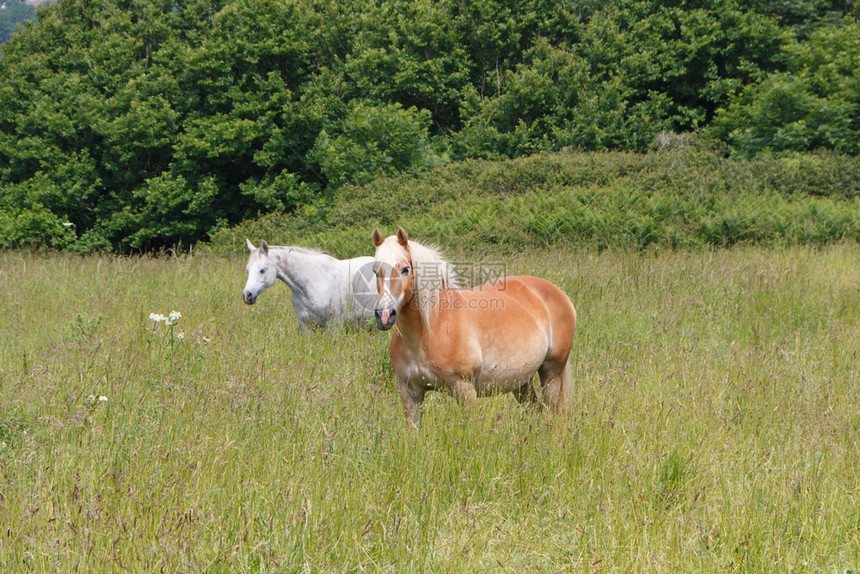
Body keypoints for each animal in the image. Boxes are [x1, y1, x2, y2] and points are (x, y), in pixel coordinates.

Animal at [372, 228, 576, 428]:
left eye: (405, 269)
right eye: (375, 271)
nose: (384, 314)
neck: (433, 329)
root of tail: (558, 294)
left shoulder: (465, 390)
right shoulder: (410, 393)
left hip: (551, 372)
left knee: (551, 411)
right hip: (521, 382)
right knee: (534, 408)